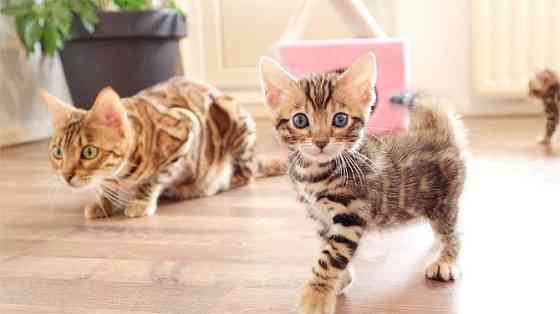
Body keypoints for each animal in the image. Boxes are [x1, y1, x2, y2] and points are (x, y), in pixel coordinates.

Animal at [41, 76, 284, 218]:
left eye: (89, 152)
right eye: (58, 152)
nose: (66, 176)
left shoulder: (186, 127)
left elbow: (154, 178)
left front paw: (140, 201)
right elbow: (106, 189)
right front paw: (104, 202)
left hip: (232, 114)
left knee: (246, 174)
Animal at [260, 52, 468, 314]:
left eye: (340, 119)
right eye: (300, 120)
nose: (320, 141)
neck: (314, 172)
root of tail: (439, 132)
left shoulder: (350, 215)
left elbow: (330, 257)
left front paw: (316, 297)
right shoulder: (321, 217)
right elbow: (326, 245)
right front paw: (341, 280)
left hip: (444, 201)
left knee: (452, 233)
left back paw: (446, 259)